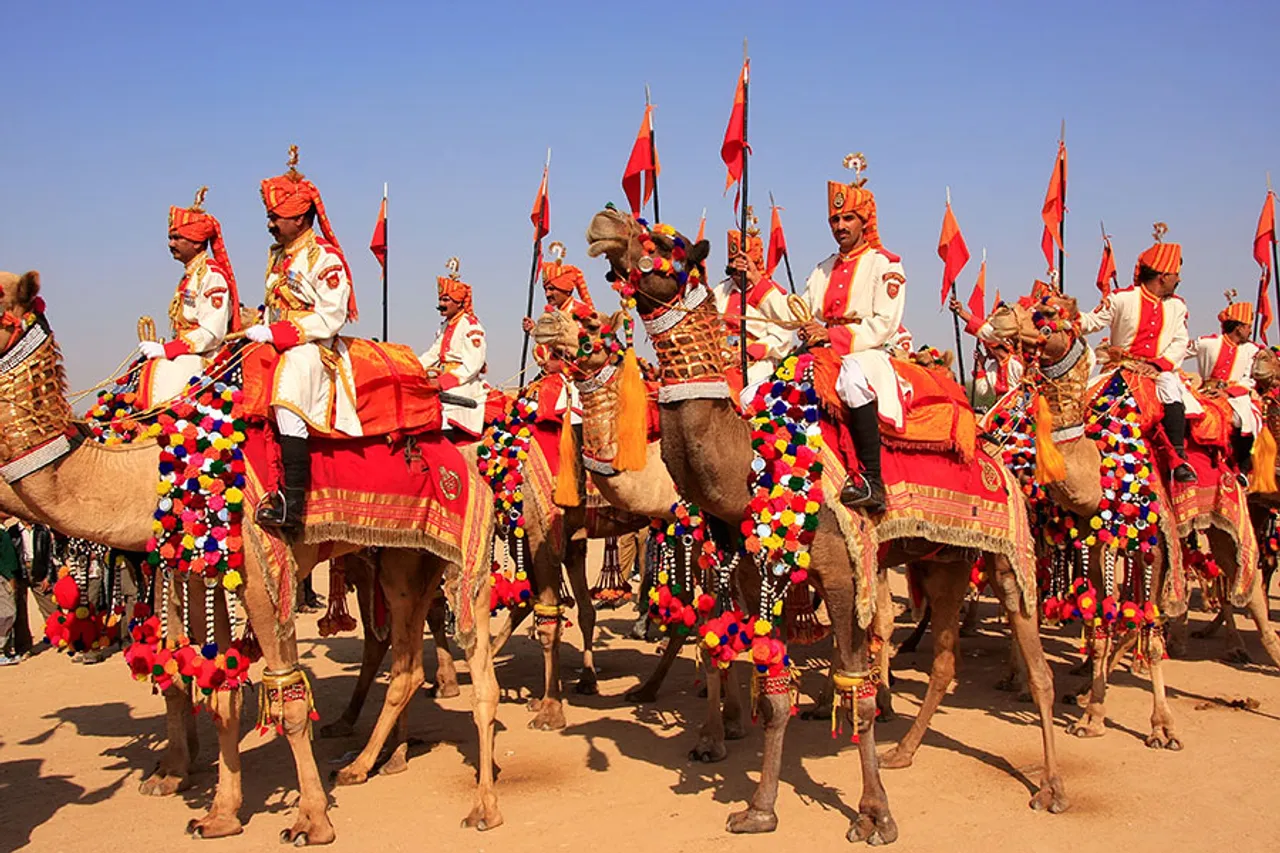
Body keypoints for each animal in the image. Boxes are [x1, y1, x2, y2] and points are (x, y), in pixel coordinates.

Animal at [0, 270, 501, 835]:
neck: (153, 470)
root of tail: (464, 461)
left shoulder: (264, 573)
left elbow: (285, 697)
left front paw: (310, 820)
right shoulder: (204, 571)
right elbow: (213, 688)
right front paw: (217, 810)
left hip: (466, 553)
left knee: (480, 673)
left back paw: (483, 804)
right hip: (398, 560)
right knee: (405, 664)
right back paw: (363, 765)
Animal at [576, 208, 1064, 840]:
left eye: (668, 241)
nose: (605, 221)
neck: (752, 460)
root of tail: (992, 451)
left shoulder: (841, 570)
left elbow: (856, 692)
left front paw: (875, 815)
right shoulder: (759, 570)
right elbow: (774, 694)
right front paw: (760, 808)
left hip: (1006, 553)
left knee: (1037, 665)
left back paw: (1050, 788)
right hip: (944, 561)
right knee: (945, 659)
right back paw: (905, 751)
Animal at [983, 292, 1274, 742]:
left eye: (1046, 312)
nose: (999, 315)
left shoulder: (1155, 542)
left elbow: (1150, 632)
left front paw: (1162, 726)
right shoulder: (1096, 536)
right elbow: (1102, 623)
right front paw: (1092, 715)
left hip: (1227, 515)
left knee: (1248, 582)